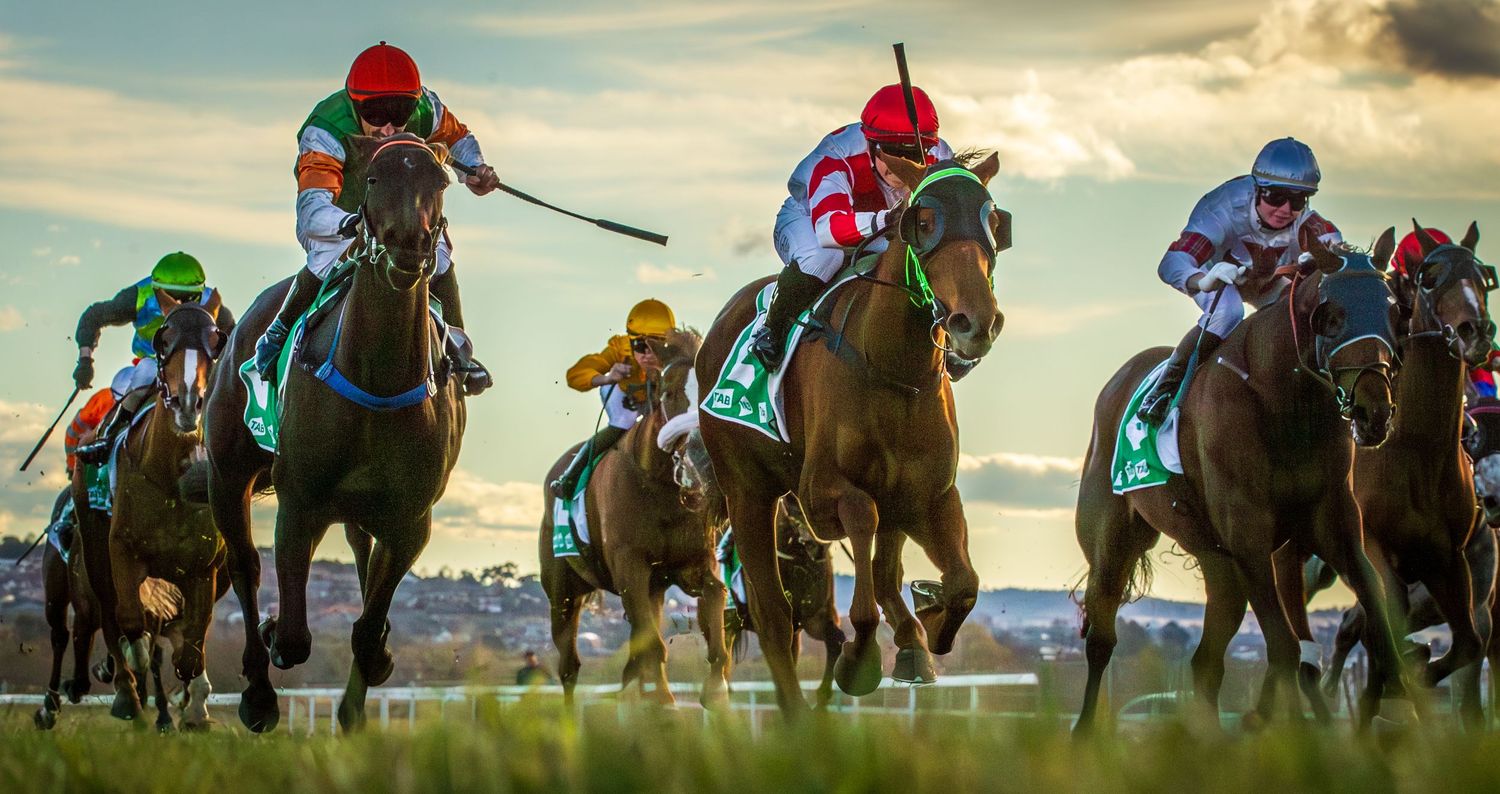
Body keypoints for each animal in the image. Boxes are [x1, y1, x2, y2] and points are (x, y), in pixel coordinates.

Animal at [205, 133, 466, 733]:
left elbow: (368, 628)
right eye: (372, 176)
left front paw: (360, 698)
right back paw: (258, 691)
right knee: (244, 567)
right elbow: (294, 637)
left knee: (362, 560)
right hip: (228, 475)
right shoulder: (300, 502)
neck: (377, 374)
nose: (409, 245)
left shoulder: (410, 519)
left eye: (440, 180)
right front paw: (272, 644)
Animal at [539, 328, 731, 707]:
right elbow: (651, 645)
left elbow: (716, 600)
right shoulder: (629, 566)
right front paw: (663, 702)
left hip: (652, 589)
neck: (660, 485)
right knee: (569, 666)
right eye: (670, 393)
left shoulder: (692, 564)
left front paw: (715, 688)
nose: (701, 461)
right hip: (562, 594)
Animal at [696, 152, 1006, 716]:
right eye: (924, 221)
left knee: (883, 573)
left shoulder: (928, 494)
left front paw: (927, 631)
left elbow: (962, 583)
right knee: (774, 619)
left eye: (994, 221)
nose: (976, 323)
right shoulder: (820, 492)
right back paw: (797, 713)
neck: (894, 368)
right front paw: (861, 657)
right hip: (748, 492)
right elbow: (862, 520)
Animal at [1073, 231, 1412, 734]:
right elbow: (1285, 648)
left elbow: (1381, 626)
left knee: (1206, 661)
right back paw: (1083, 734)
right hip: (1112, 541)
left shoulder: (1333, 526)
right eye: (1331, 316)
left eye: (1393, 313)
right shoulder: (1248, 534)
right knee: (1101, 637)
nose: (1375, 412)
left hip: (1217, 561)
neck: (1283, 399)